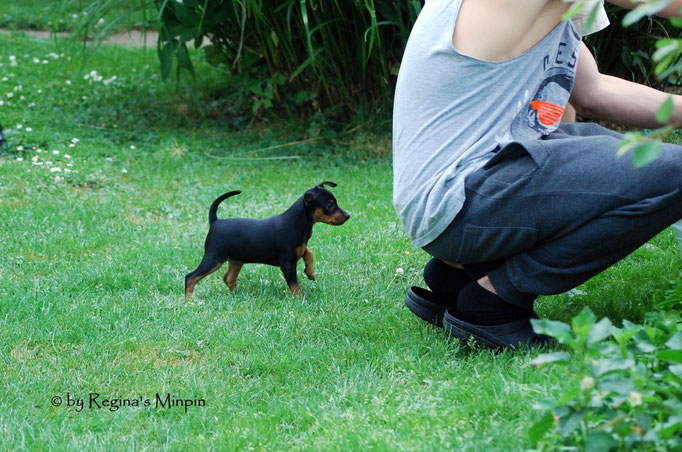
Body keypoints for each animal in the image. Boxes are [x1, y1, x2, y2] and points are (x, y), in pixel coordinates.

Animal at [183, 180, 348, 300]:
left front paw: (310, 271)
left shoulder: (300, 248)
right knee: (190, 277)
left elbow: (309, 252)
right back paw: (189, 301)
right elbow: (294, 284)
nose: (348, 215)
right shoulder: (288, 264)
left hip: (236, 259)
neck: (299, 222)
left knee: (228, 278)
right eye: (329, 205)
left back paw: (237, 295)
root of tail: (215, 222)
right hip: (214, 258)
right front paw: (301, 298)